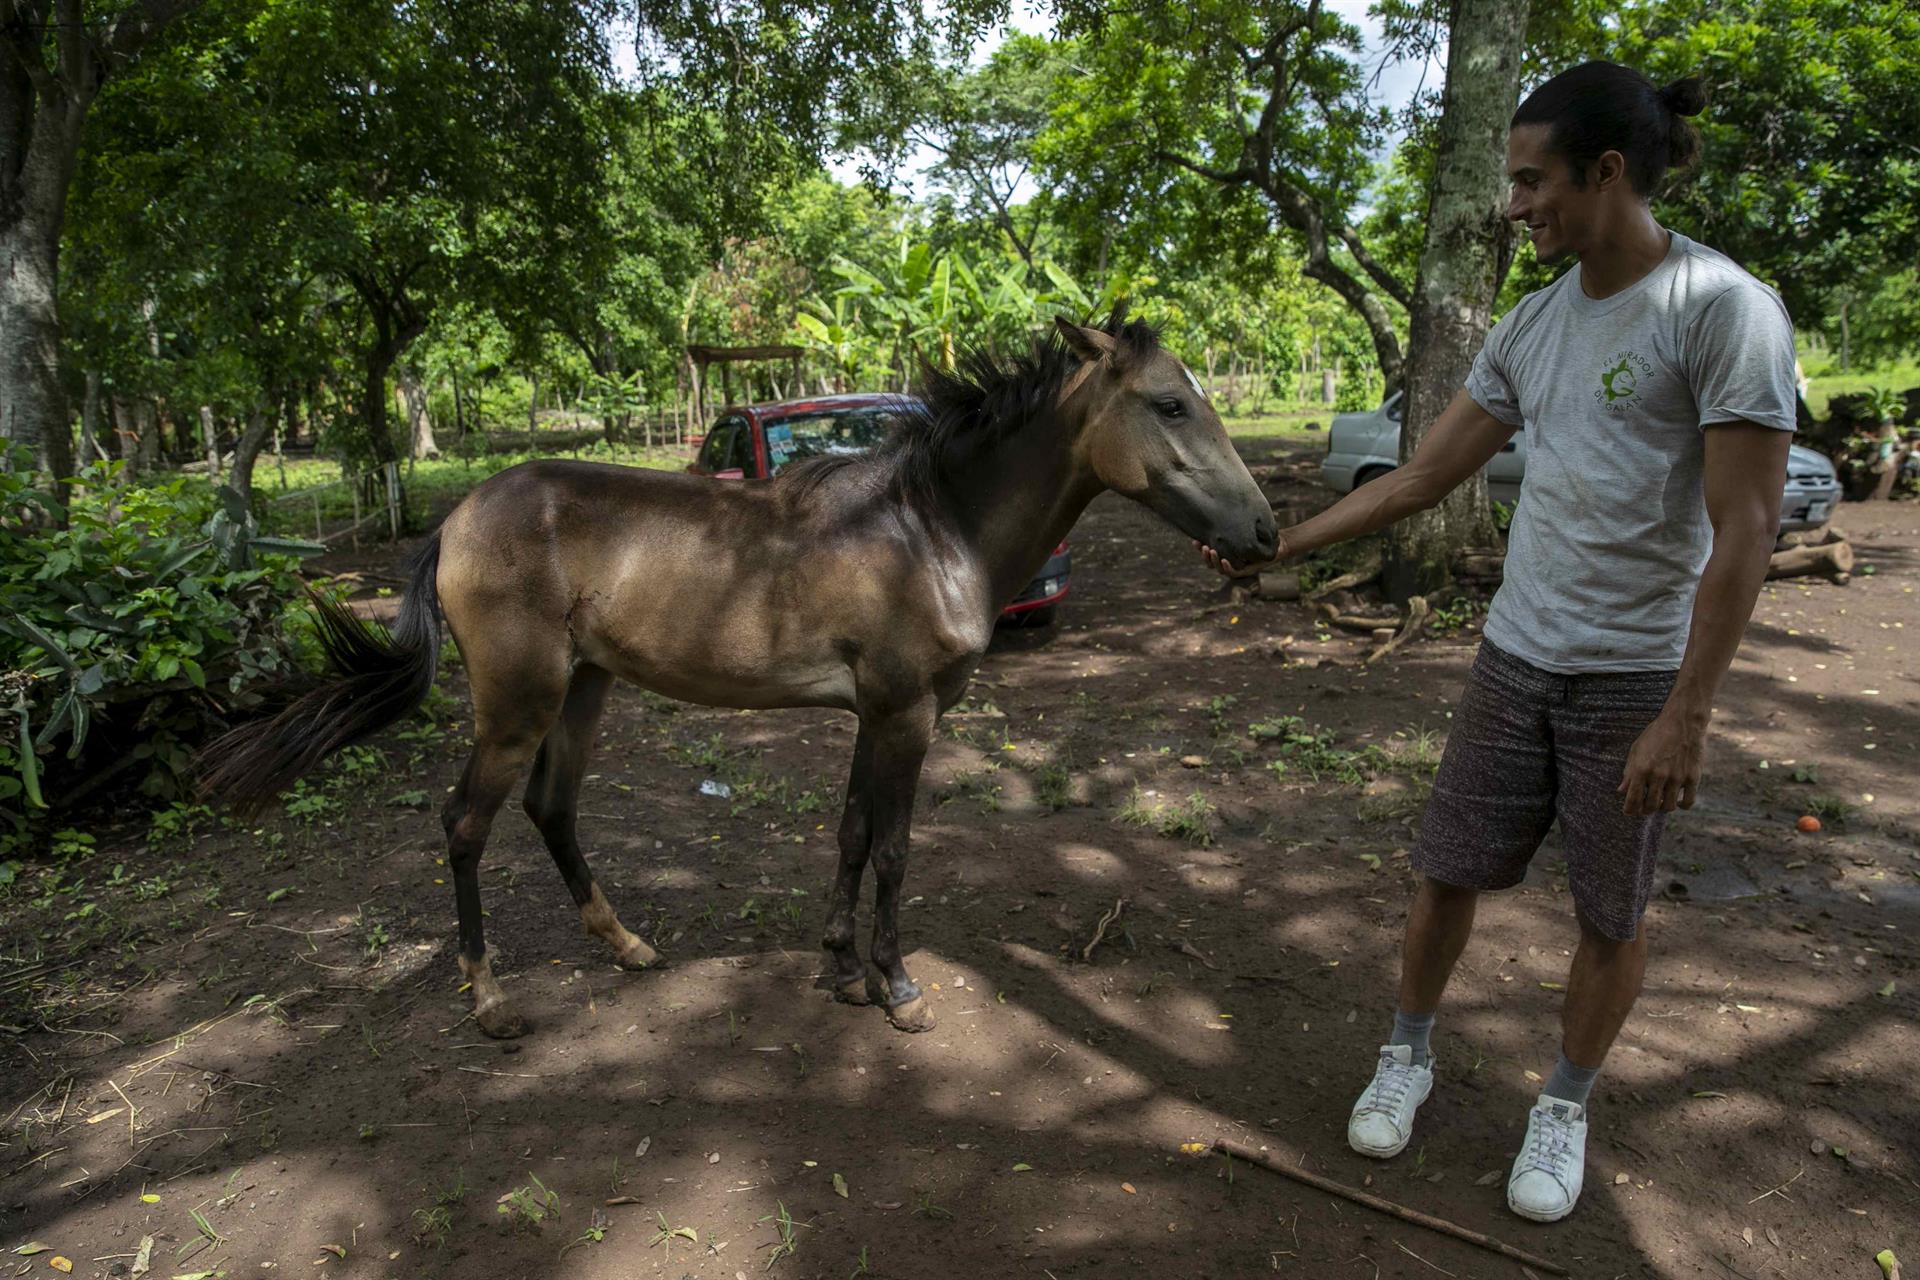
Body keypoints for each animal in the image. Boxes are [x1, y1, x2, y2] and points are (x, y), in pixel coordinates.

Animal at [199, 313, 1278, 1038]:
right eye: (1171, 402)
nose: (1263, 532)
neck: (930, 527)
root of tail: (458, 518)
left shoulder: (873, 714)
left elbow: (850, 834)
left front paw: (841, 970)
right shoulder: (907, 714)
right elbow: (893, 848)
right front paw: (897, 986)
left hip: (584, 689)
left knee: (552, 807)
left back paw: (626, 944)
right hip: (517, 703)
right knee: (466, 823)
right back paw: (493, 997)